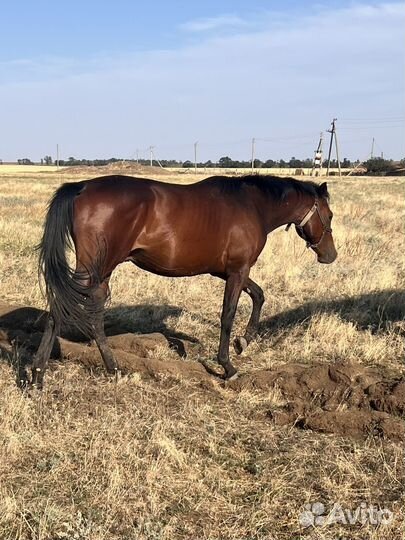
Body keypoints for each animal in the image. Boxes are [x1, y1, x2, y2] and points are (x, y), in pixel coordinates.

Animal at [30, 175, 336, 386]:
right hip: (93, 270)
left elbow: (259, 295)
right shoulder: (238, 271)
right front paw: (227, 366)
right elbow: (228, 315)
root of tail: (81, 187)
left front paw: (245, 341)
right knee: (64, 308)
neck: (252, 206)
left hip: (100, 273)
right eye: (330, 215)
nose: (330, 255)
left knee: (88, 314)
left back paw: (105, 368)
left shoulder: (227, 271)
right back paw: (38, 373)